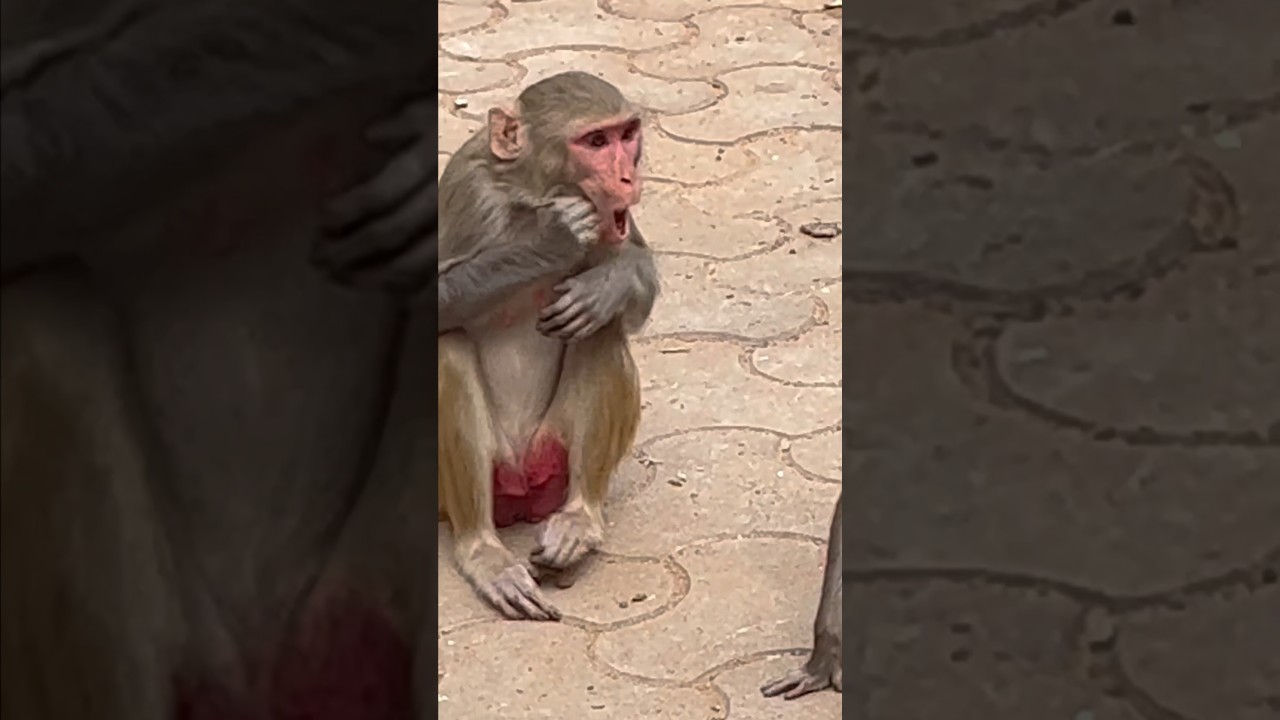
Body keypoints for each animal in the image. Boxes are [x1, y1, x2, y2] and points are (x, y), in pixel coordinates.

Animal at [430, 72, 660, 621]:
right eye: (594, 142)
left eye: (626, 135)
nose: (627, 178)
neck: (530, 193)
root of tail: (521, 483)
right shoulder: (467, 190)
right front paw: (548, 242)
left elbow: (635, 270)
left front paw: (606, 286)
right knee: (449, 350)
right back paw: (482, 551)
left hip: (552, 452)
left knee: (601, 331)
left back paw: (580, 520)